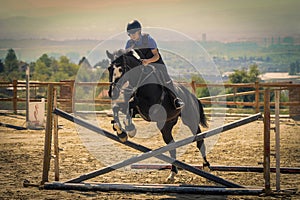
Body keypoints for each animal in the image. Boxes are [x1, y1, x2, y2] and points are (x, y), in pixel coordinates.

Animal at [106, 48, 210, 181]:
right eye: (109, 68)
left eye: (122, 69)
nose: (111, 92)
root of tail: (191, 95)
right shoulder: (134, 106)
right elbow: (118, 108)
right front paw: (121, 132)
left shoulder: (149, 106)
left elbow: (130, 105)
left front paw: (129, 129)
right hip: (165, 125)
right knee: (172, 145)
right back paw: (172, 173)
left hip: (190, 120)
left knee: (199, 140)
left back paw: (206, 166)